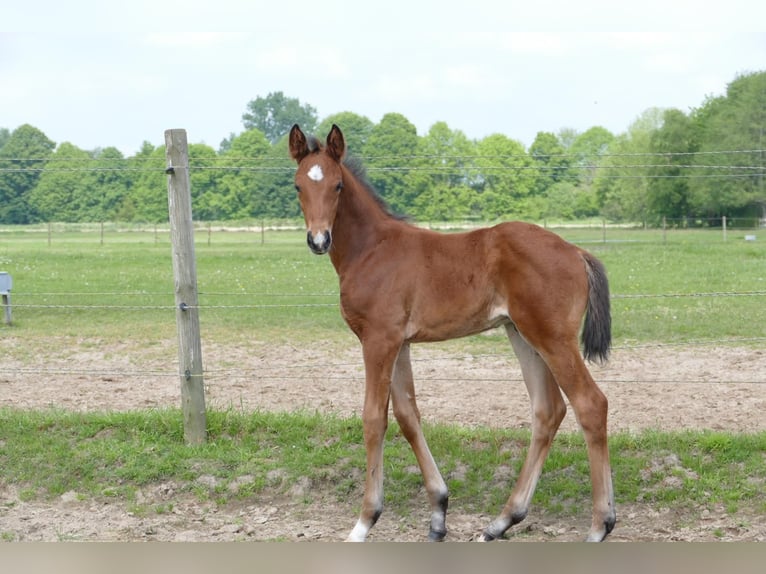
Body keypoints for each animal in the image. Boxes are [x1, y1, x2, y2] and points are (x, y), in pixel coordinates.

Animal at [288, 124, 616, 544]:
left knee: (590, 404)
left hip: (553, 338)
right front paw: (438, 515)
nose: (319, 240)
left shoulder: (378, 340)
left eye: (338, 185)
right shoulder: (399, 343)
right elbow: (408, 416)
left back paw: (599, 525)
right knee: (548, 410)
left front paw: (364, 522)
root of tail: (576, 251)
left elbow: (374, 419)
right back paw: (501, 522)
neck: (371, 249)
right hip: (521, 334)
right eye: (298, 185)